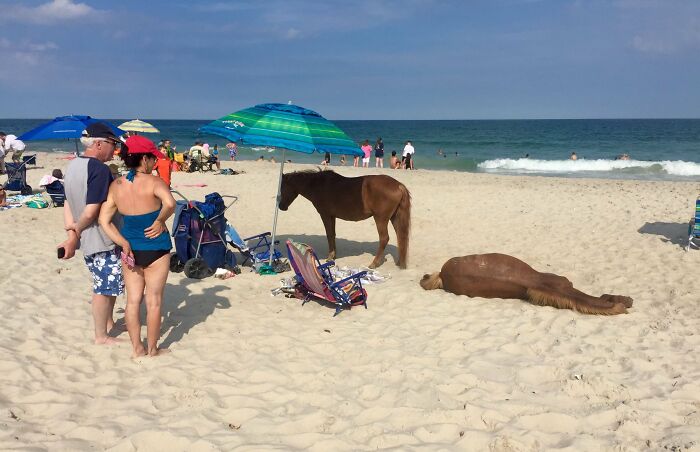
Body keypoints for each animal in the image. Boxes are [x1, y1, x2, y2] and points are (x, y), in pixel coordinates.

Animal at [278, 169, 411, 269]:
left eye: (282, 187)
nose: (281, 207)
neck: (319, 185)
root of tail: (398, 185)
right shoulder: (332, 216)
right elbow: (332, 234)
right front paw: (333, 255)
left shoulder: (325, 215)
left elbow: (329, 234)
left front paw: (330, 257)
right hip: (394, 218)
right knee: (401, 237)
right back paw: (400, 262)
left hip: (380, 219)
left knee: (384, 238)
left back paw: (374, 263)